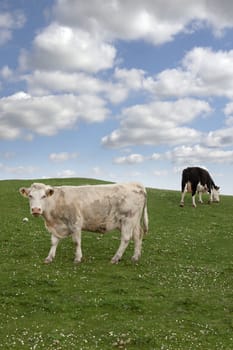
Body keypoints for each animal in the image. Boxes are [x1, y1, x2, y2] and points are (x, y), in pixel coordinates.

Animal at [19, 182, 148, 264]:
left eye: (44, 196)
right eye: (30, 196)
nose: (36, 210)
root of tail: (135, 183)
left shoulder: (75, 223)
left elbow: (76, 242)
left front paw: (77, 258)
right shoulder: (56, 226)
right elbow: (54, 242)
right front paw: (49, 258)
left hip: (128, 219)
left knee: (126, 238)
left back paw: (115, 258)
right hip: (134, 221)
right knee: (138, 236)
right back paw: (135, 257)